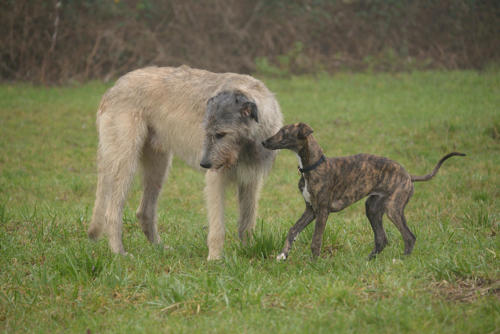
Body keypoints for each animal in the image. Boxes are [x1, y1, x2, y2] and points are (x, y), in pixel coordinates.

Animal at [262, 122, 464, 260]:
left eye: (283, 133)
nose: (263, 142)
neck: (313, 165)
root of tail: (408, 175)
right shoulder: (310, 209)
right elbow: (292, 230)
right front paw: (282, 255)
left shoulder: (322, 211)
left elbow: (316, 240)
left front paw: (313, 263)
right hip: (373, 207)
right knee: (382, 239)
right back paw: (369, 261)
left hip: (393, 208)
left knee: (409, 237)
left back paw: (401, 260)